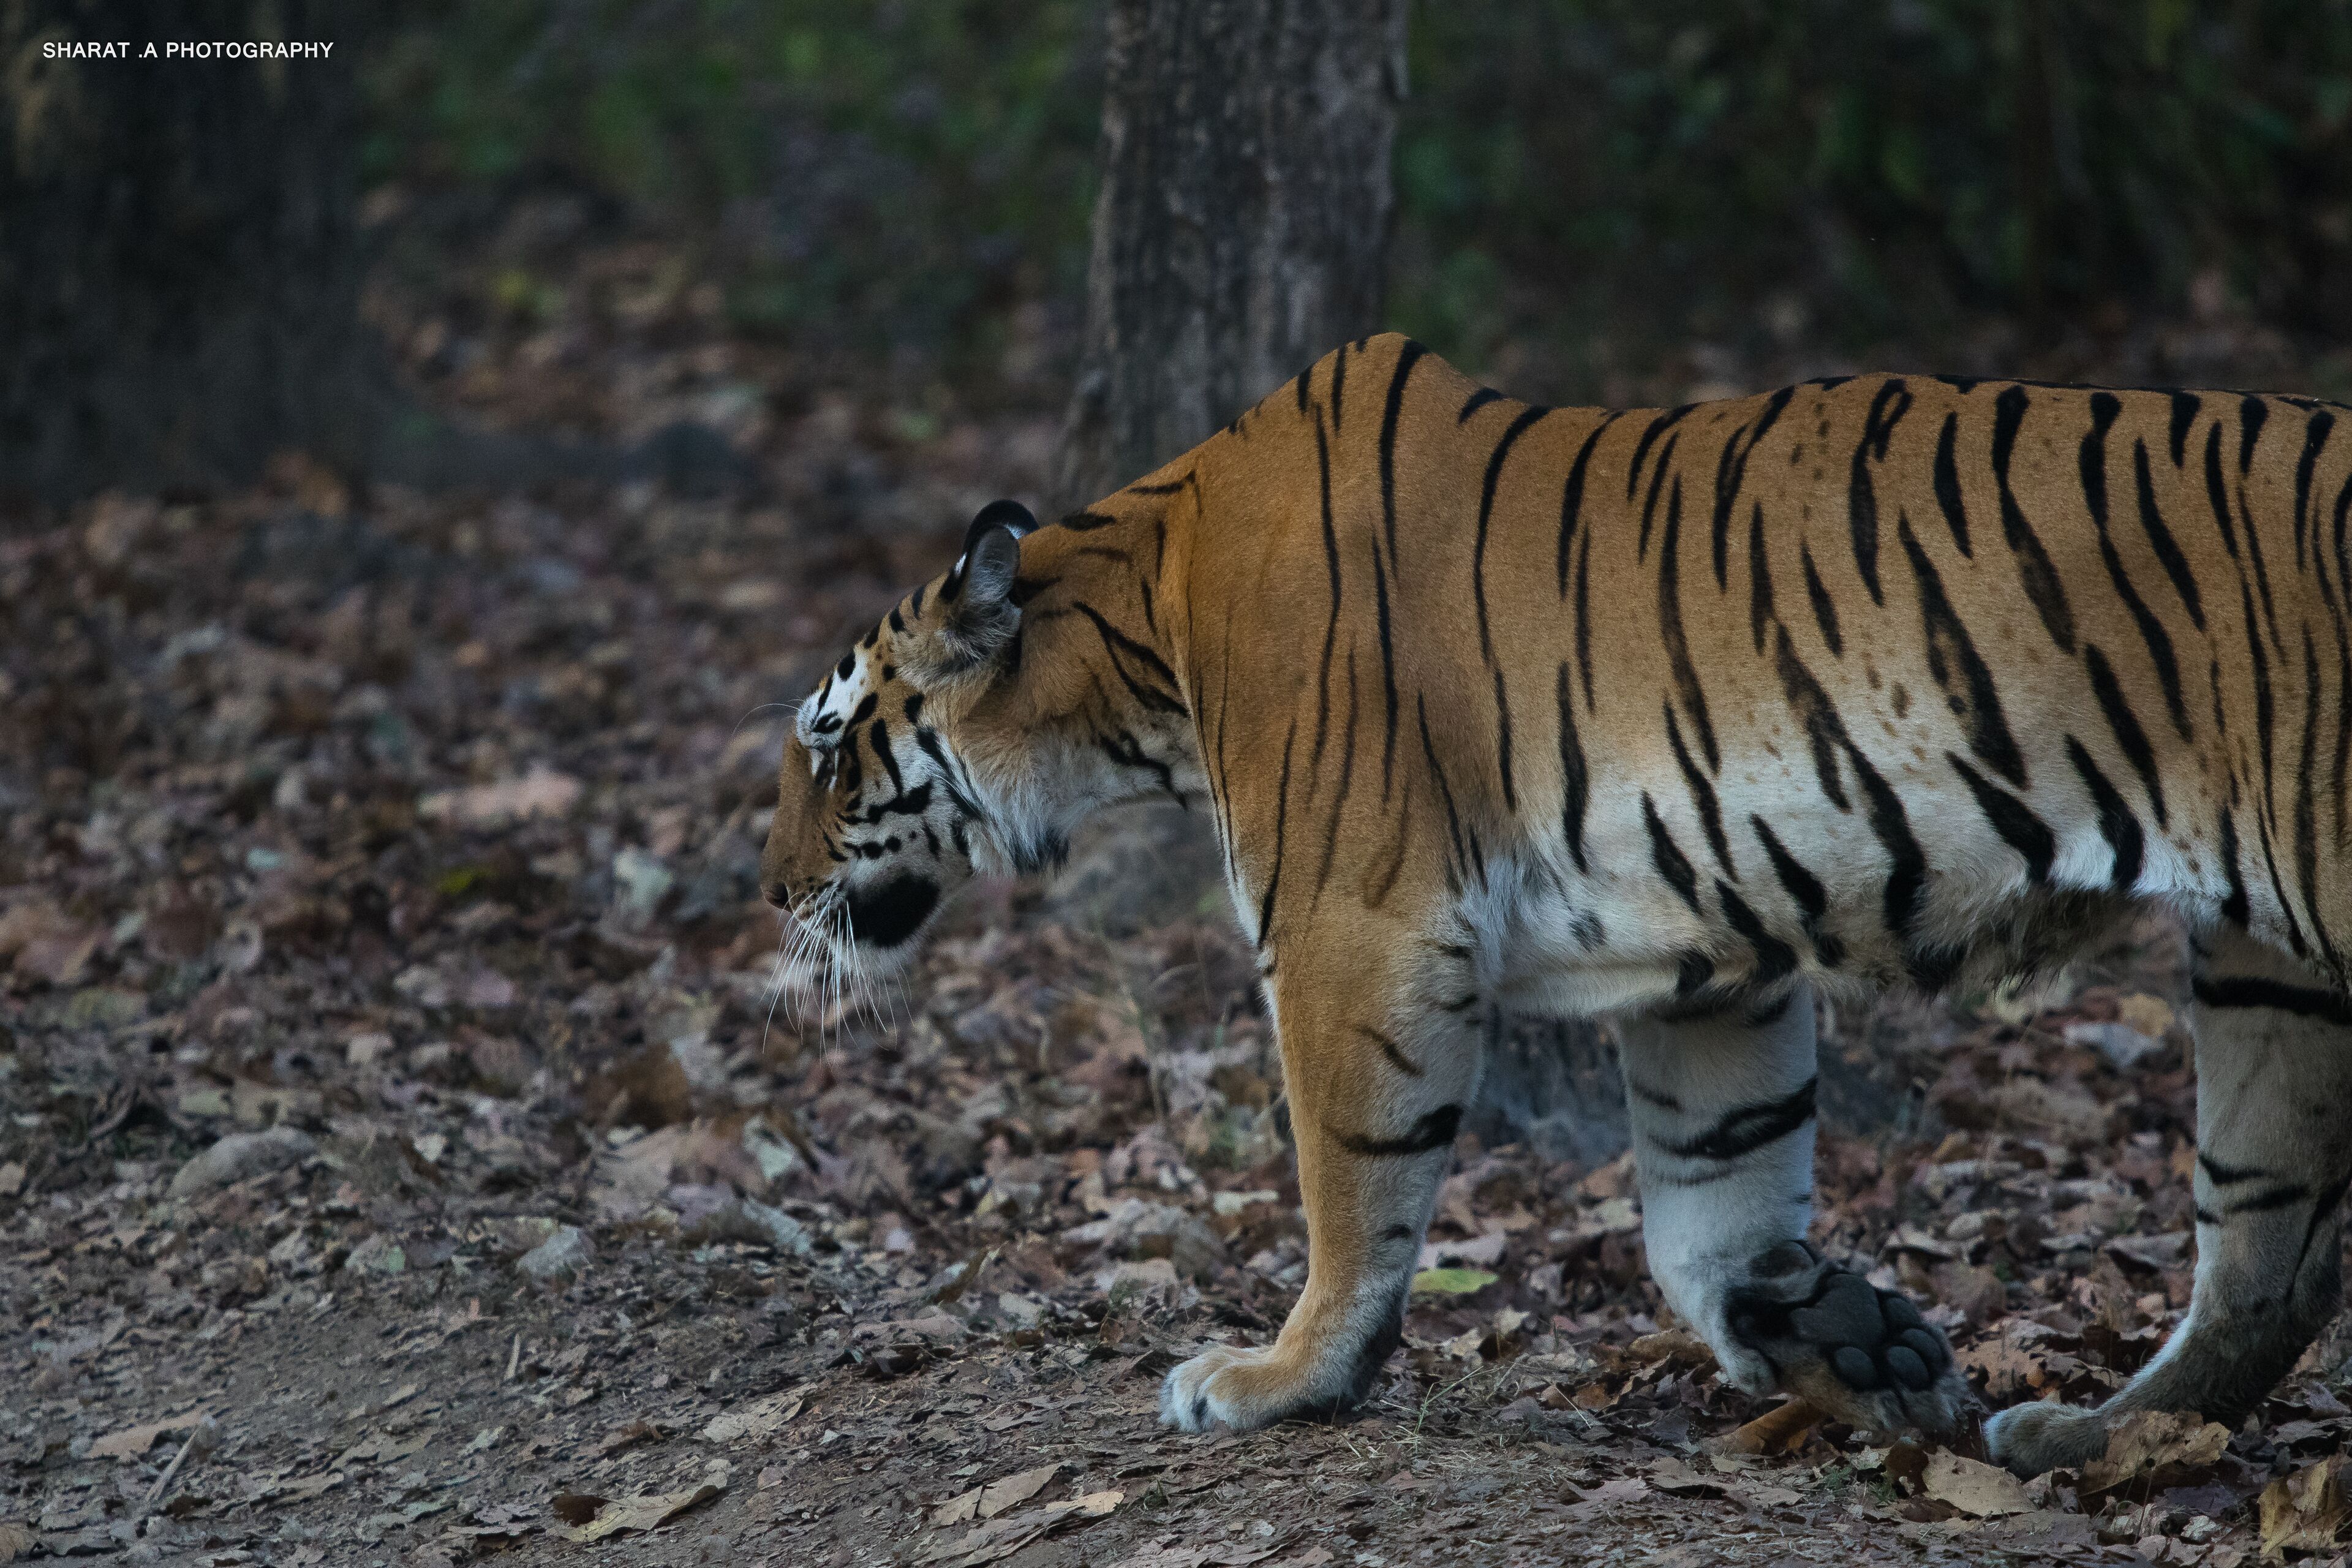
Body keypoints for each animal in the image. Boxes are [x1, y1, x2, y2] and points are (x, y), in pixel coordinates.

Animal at [760, 332, 2352, 1475]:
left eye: (828, 748)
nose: (764, 886)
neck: (1139, 628)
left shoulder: (1350, 923)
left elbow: (1350, 1176)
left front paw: (1282, 1377)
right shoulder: (1714, 954)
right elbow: (1711, 1201)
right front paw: (1846, 1338)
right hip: (2263, 966)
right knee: (2269, 1257)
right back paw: (2093, 1437)